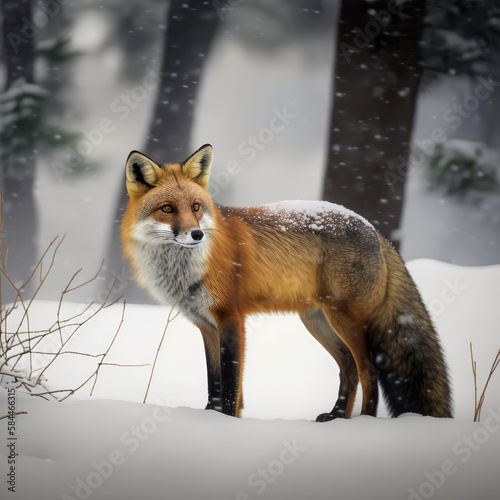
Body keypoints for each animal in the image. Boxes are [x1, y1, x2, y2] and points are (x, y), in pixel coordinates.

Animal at [121, 144, 454, 418]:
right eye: (167, 208)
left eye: (196, 207)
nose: (197, 234)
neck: (187, 268)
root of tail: (375, 230)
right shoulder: (206, 325)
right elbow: (213, 382)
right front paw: (209, 418)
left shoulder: (232, 319)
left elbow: (230, 385)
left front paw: (226, 422)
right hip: (318, 321)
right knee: (348, 369)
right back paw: (336, 416)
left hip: (346, 320)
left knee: (368, 371)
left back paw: (364, 422)